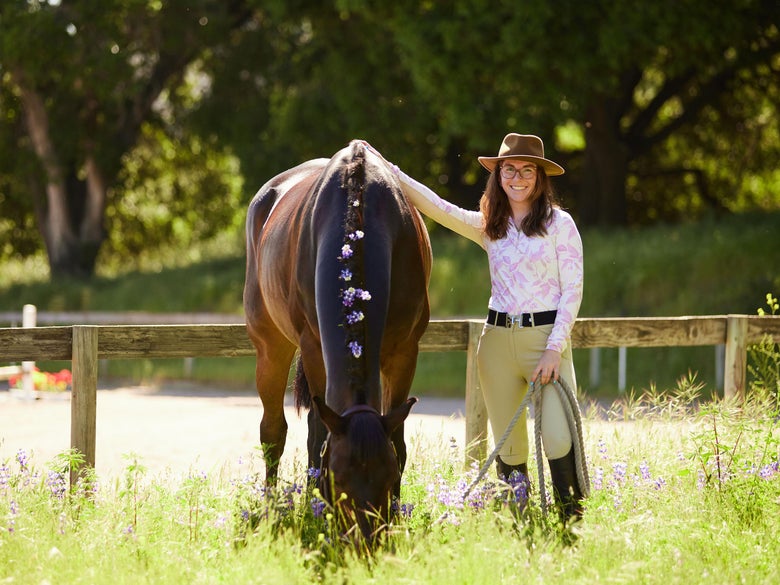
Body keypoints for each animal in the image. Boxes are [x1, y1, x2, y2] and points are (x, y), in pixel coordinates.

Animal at [243, 140, 431, 542]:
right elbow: (317, 440)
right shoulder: (314, 349)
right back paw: (272, 509)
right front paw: (318, 515)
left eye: (389, 479)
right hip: (270, 347)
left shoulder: (405, 352)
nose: (364, 542)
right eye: (339, 479)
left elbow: (398, 441)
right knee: (274, 433)